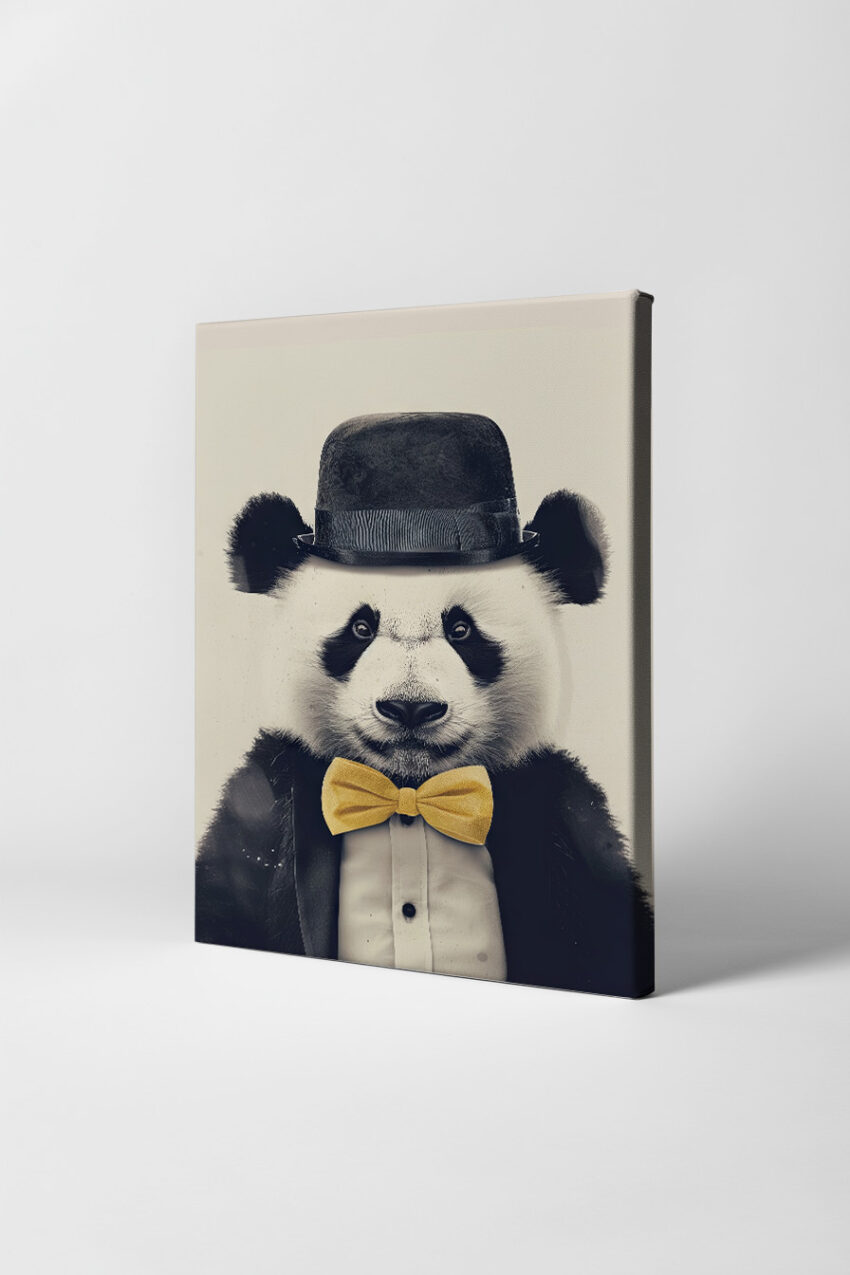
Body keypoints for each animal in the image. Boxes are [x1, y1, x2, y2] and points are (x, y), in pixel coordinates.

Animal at [196, 412, 653, 997]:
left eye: (461, 631)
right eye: (360, 629)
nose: (409, 709)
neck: (407, 789)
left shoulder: (560, 810)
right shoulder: (262, 800)